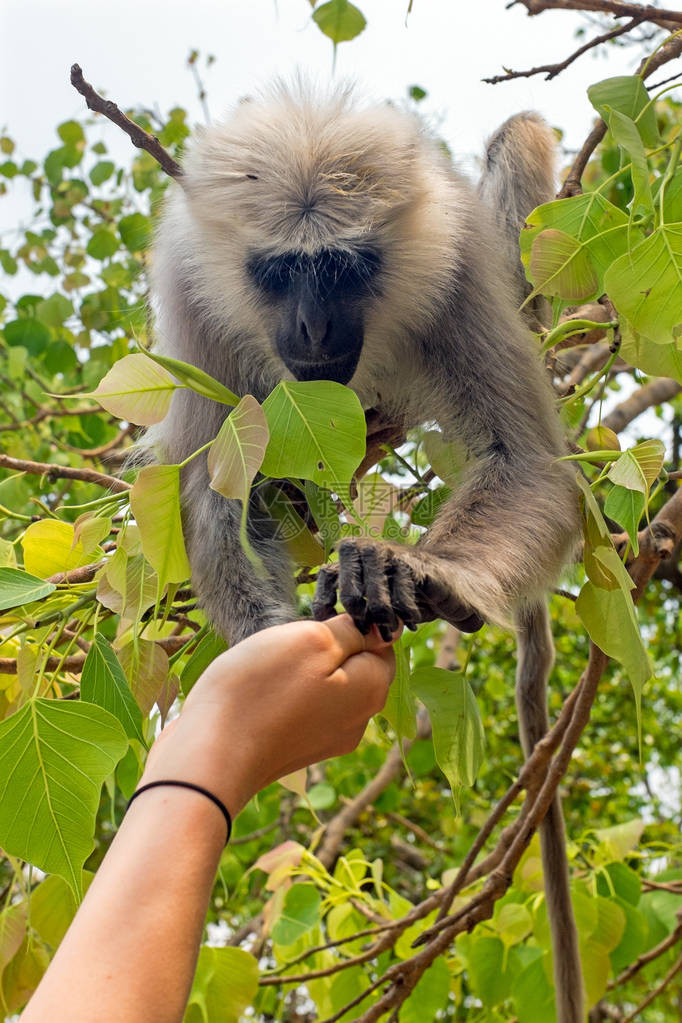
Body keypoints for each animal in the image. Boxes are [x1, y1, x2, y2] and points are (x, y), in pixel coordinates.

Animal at [148, 85, 580, 1023]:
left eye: (345, 269)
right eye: (279, 273)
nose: (311, 325)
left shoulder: (456, 269)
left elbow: (527, 464)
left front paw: (419, 569)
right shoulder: (196, 297)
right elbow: (214, 495)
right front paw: (269, 649)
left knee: (520, 131)